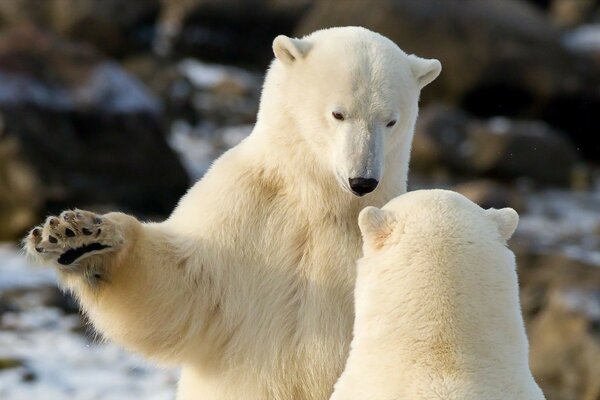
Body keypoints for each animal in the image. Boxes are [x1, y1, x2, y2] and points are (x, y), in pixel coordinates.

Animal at [23, 27, 440, 400]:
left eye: (391, 120)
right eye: (338, 114)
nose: (362, 180)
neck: (322, 199)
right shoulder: (243, 206)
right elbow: (180, 289)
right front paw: (78, 239)